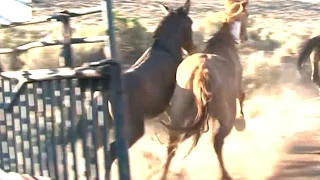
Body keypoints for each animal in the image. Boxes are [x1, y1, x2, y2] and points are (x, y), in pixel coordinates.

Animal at [105, 0, 195, 176]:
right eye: (190, 23)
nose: (193, 48)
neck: (166, 48)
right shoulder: (172, 103)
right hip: (134, 128)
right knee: (113, 151)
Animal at [159, 0, 248, 179]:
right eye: (247, 15)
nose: (245, 37)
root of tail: (201, 70)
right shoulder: (237, 87)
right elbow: (242, 96)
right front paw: (242, 121)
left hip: (178, 113)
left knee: (172, 145)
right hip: (225, 115)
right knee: (217, 142)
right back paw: (224, 174)